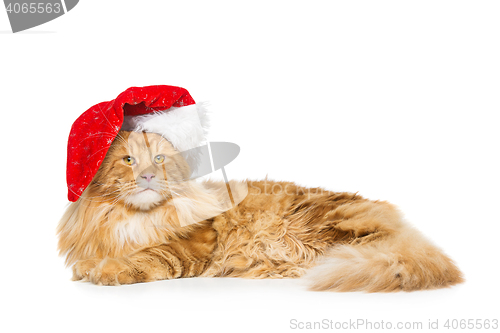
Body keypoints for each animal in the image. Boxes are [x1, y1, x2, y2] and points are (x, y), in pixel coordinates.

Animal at [58, 130, 464, 290]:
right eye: (128, 160)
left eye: (158, 159)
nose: (147, 176)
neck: (132, 217)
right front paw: (89, 266)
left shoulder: (192, 245)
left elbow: (145, 257)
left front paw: (104, 270)